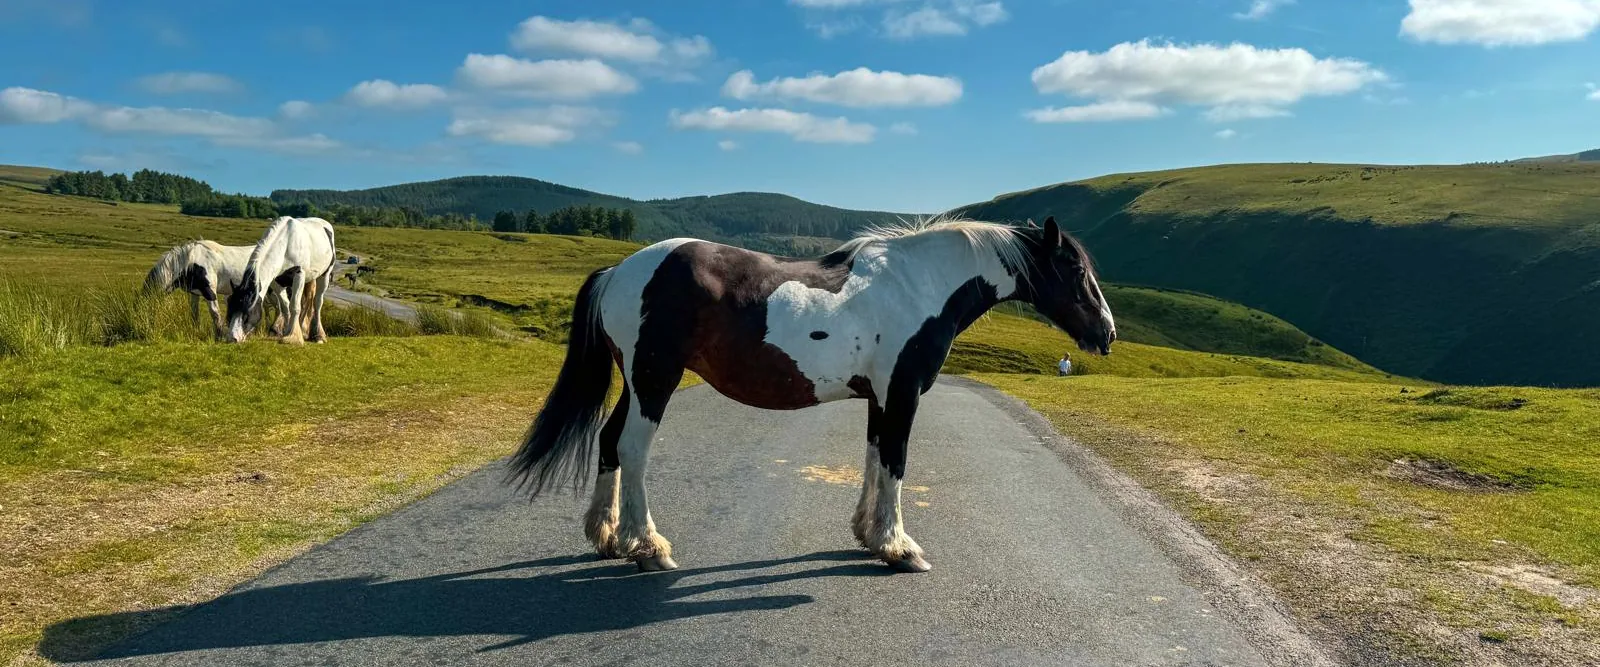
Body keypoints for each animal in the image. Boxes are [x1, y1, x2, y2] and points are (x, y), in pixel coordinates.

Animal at [143, 239, 292, 340]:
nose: (147, 326)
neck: (191, 263)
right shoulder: (195, 293)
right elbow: (194, 313)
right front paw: (196, 330)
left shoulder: (210, 292)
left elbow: (215, 313)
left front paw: (220, 335)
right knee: (279, 307)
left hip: (276, 287)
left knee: (285, 306)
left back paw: (281, 331)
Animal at [224, 216, 337, 345]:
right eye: (230, 310)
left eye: (247, 314)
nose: (232, 338)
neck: (286, 244)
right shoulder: (276, 281)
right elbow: (285, 306)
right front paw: (286, 332)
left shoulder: (299, 275)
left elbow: (294, 306)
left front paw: (293, 337)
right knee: (306, 303)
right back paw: (304, 331)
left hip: (325, 275)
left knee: (317, 303)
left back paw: (319, 336)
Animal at [505, 215, 1116, 573]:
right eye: (1074, 268)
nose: (1106, 334)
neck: (917, 286)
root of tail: (619, 271)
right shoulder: (903, 394)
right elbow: (896, 463)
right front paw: (899, 548)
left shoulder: (880, 397)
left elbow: (874, 458)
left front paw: (868, 534)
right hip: (656, 380)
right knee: (632, 450)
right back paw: (648, 547)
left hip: (636, 383)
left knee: (610, 442)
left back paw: (608, 537)